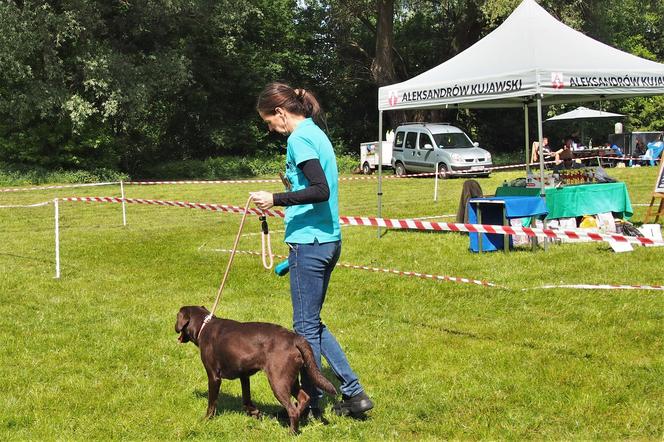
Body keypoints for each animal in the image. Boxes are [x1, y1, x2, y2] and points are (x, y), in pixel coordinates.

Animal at [176, 306, 338, 434]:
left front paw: (206, 420)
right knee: (304, 398)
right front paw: (255, 413)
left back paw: (292, 432)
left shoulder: (214, 376)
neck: (204, 326)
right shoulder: (244, 375)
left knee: (292, 409)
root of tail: (295, 338)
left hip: (278, 381)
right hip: (290, 379)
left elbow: (212, 403)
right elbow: (246, 398)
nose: (175, 327)